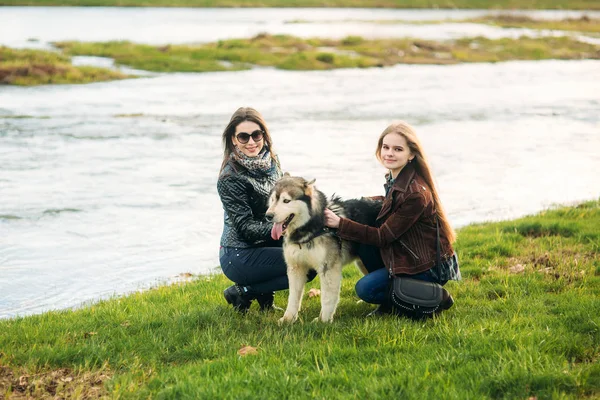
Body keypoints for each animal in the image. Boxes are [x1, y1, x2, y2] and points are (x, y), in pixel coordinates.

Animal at [266, 173, 380, 324]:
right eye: (273, 200)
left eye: (286, 201)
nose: (268, 216)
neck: (309, 230)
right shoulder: (296, 268)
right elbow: (293, 297)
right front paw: (288, 319)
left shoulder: (329, 269)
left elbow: (327, 298)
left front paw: (323, 321)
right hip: (361, 263)